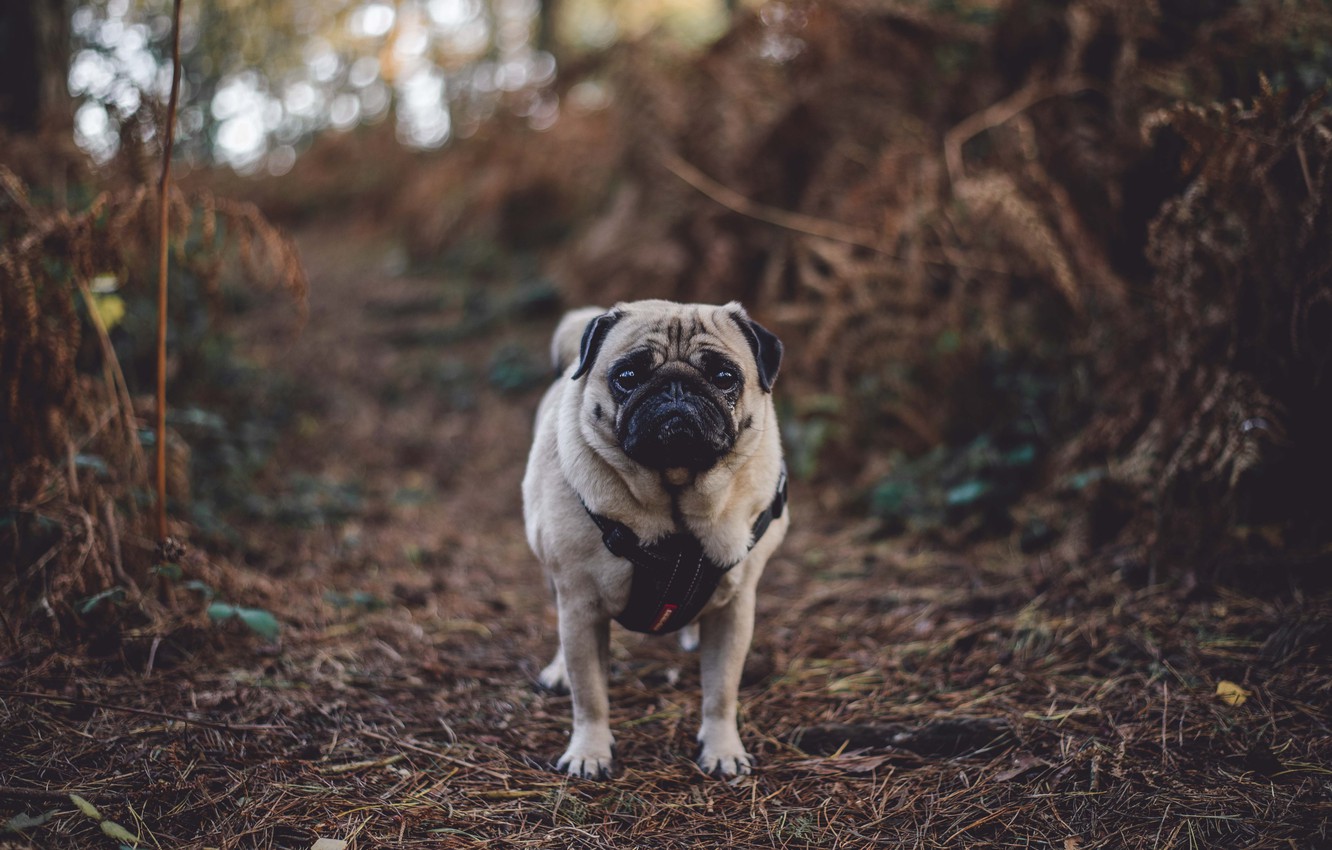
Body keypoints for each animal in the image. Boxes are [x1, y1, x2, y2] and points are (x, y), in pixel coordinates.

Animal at [522, 303, 788, 783]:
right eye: (627, 376)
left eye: (724, 377)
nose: (676, 387)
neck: (675, 499)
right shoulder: (581, 608)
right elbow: (590, 695)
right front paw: (589, 751)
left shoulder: (736, 609)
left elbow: (721, 691)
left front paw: (723, 749)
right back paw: (557, 671)